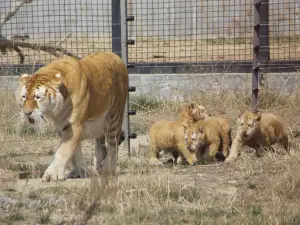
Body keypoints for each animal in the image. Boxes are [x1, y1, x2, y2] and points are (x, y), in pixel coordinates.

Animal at [16, 52, 129, 181]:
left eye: (38, 97)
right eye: (24, 97)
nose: (26, 112)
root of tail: (116, 56)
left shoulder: (74, 126)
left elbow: (63, 151)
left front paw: (52, 175)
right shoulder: (62, 126)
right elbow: (74, 152)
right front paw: (80, 172)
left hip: (114, 117)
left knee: (113, 145)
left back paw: (108, 169)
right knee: (100, 142)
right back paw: (99, 166)